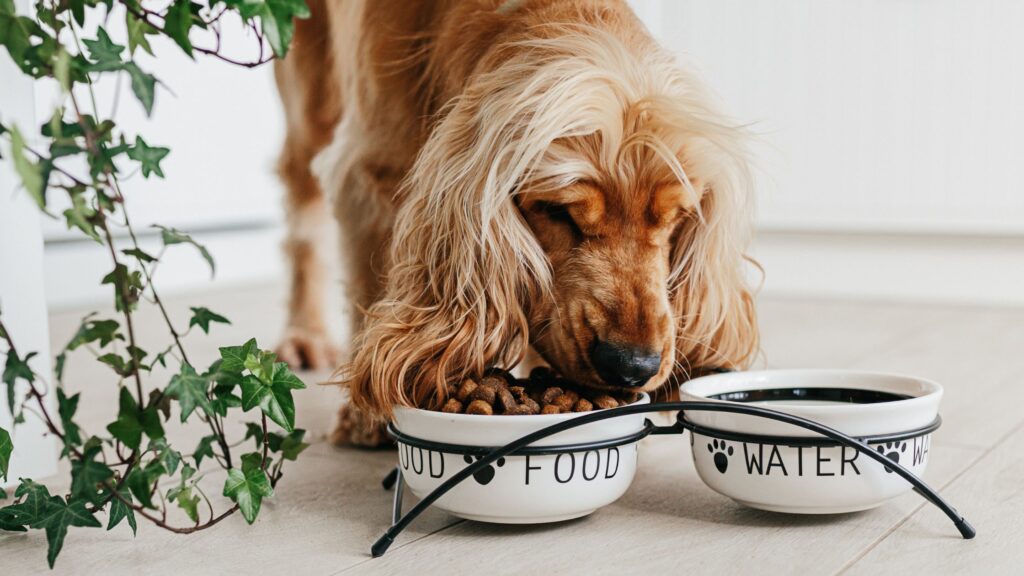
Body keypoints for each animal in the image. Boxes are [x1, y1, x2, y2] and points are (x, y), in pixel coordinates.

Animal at [274, 0, 761, 444]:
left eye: (679, 216)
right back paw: (305, 335)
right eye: (558, 211)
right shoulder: (369, 171)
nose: (632, 366)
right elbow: (369, 284)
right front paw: (369, 418)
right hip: (309, 83)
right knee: (302, 211)